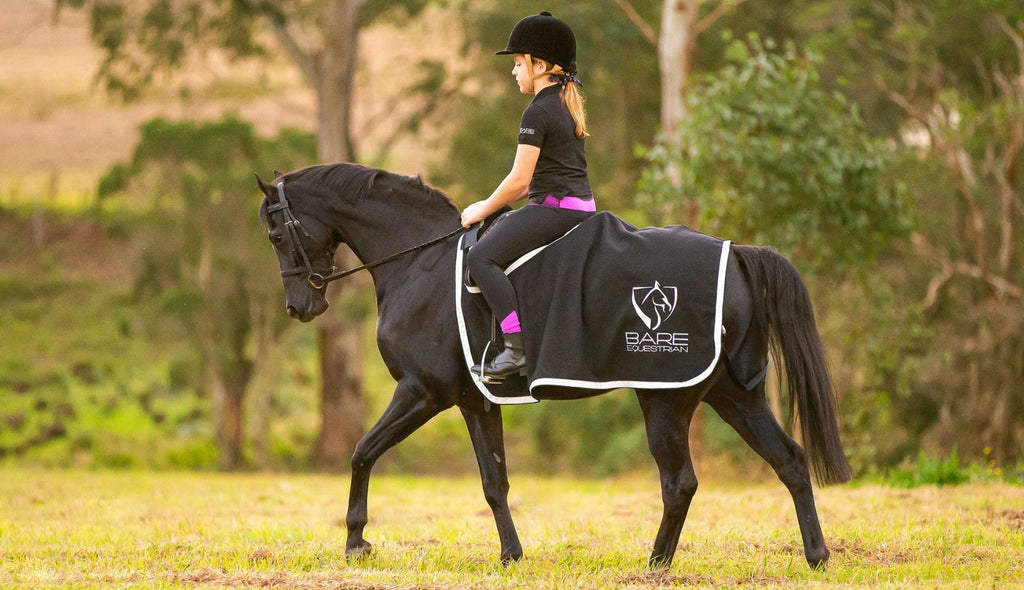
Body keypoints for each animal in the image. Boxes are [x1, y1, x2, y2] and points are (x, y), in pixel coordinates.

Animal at [255, 163, 852, 570]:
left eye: (278, 235)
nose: (299, 308)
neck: (419, 262)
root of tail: (738, 254)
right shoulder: (473, 401)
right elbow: (494, 482)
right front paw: (511, 556)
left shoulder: (421, 392)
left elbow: (362, 452)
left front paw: (356, 542)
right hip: (732, 394)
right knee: (790, 460)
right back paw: (816, 555)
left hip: (666, 398)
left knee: (680, 482)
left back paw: (655, 565)